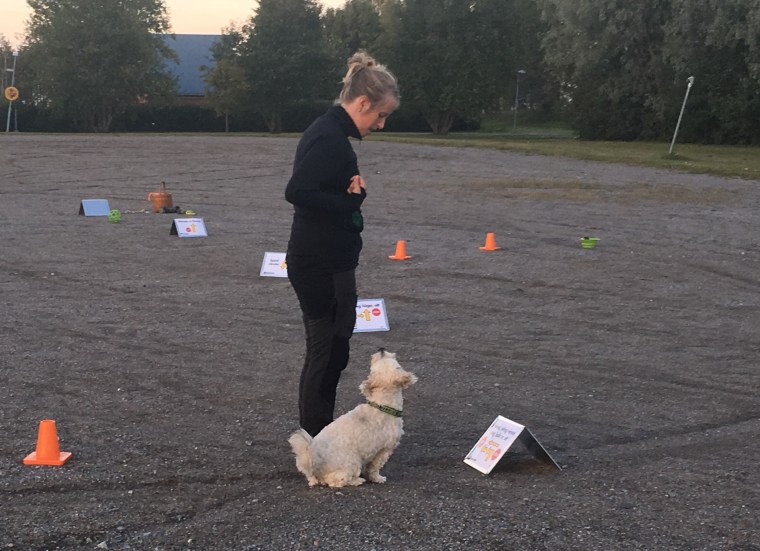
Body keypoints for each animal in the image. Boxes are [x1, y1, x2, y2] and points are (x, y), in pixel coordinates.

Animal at [288, 348, 418, 488]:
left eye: (373, 368)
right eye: (398, 366)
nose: (381, 349)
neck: (382, 405)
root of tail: (312, 461)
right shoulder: (384, 449)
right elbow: (374, 467)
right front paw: (377, 478)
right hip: (352, 461)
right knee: (334, 480)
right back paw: (356, 480)